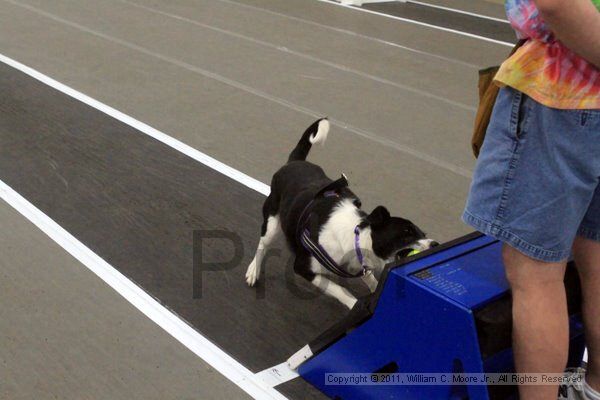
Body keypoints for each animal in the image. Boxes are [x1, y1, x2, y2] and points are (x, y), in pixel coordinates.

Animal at [244, 117, 436, 308]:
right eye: (406, 234)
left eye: (423, 233)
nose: (435, 244)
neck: (357, 236)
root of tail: (294, 162)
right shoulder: (304, 268)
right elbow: (339, 289)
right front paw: (354, 304)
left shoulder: (360, 266)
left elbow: (371, 280)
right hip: (271, 223)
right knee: (262, 245)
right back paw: (253, 270)